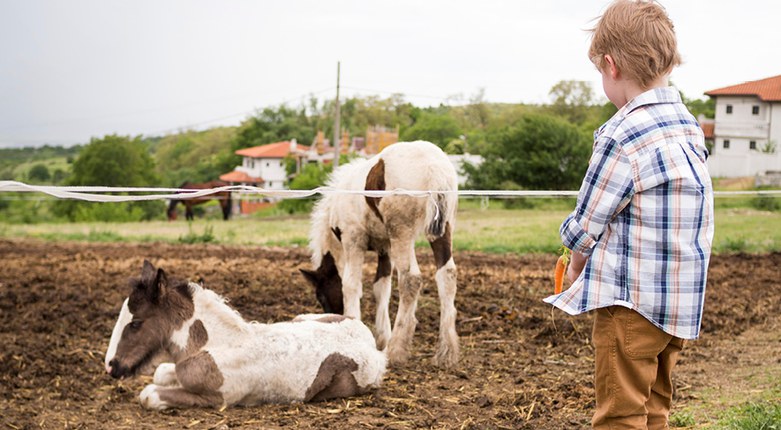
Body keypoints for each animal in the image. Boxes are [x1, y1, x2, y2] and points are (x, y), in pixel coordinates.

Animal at [104, 260, 386, 408]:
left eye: (135, 323)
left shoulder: (218, 398)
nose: (111, 366)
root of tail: (372, 343)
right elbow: (161, 372)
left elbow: (149, 394)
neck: (215, 346)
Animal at [298, 142, 458, 370]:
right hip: (442, 230)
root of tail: (434, 167)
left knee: (411, 279)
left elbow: (351, 284)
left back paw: (396, 350)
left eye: (319, 295)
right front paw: (382, 337)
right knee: (447, 275)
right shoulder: (385, 248)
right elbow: (381, 287)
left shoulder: (353, 239)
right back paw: (446, 353)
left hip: (401, 232)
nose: (333, 314)